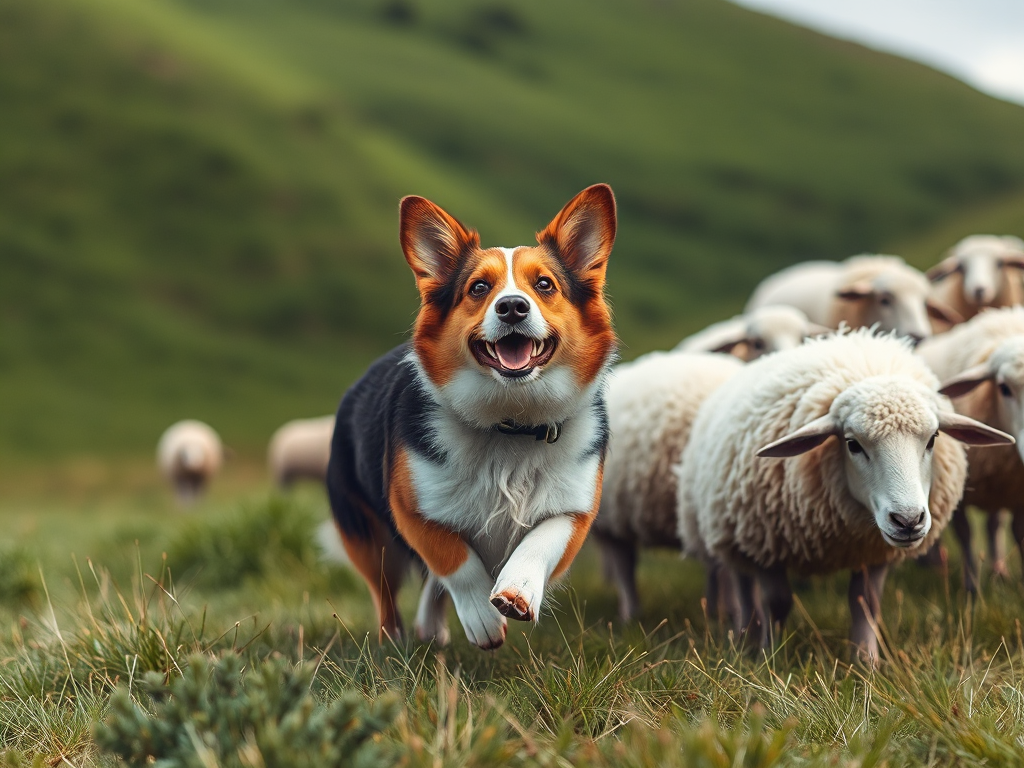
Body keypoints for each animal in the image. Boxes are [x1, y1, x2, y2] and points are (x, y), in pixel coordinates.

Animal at [675, 329, 1012, 661]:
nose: (908, 520)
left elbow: (866, 602)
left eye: (933, 439)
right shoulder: (766, 543)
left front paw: (866, 662)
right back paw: (746, 637)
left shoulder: (873, 551)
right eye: (852, 444)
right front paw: (770, 657)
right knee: (745, 587)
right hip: (731, 532)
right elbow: (777, 602)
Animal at [916, 307, 1024, 590]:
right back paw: (933, 563)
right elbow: (965, 535)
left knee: (994, 524)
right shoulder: (958, 489)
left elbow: (1018, 532)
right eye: (1003, 388)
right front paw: (971, 588)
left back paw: (999, 571)